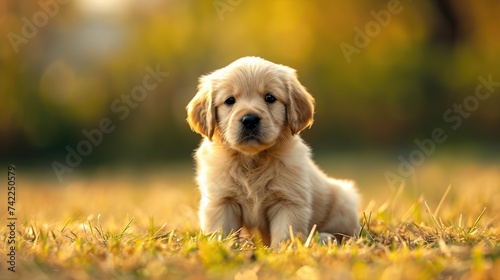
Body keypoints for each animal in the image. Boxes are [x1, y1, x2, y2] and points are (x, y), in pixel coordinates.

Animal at [187, 57, 360, 247]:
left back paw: (324, 238)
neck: (252, 160)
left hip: (344, 200)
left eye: (270, 97)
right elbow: (222, 232)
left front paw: (282, 251)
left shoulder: (288, 201)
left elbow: (285, 234)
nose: (250, 120)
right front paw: (223, 248)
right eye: (230, 100)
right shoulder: (222, 201)